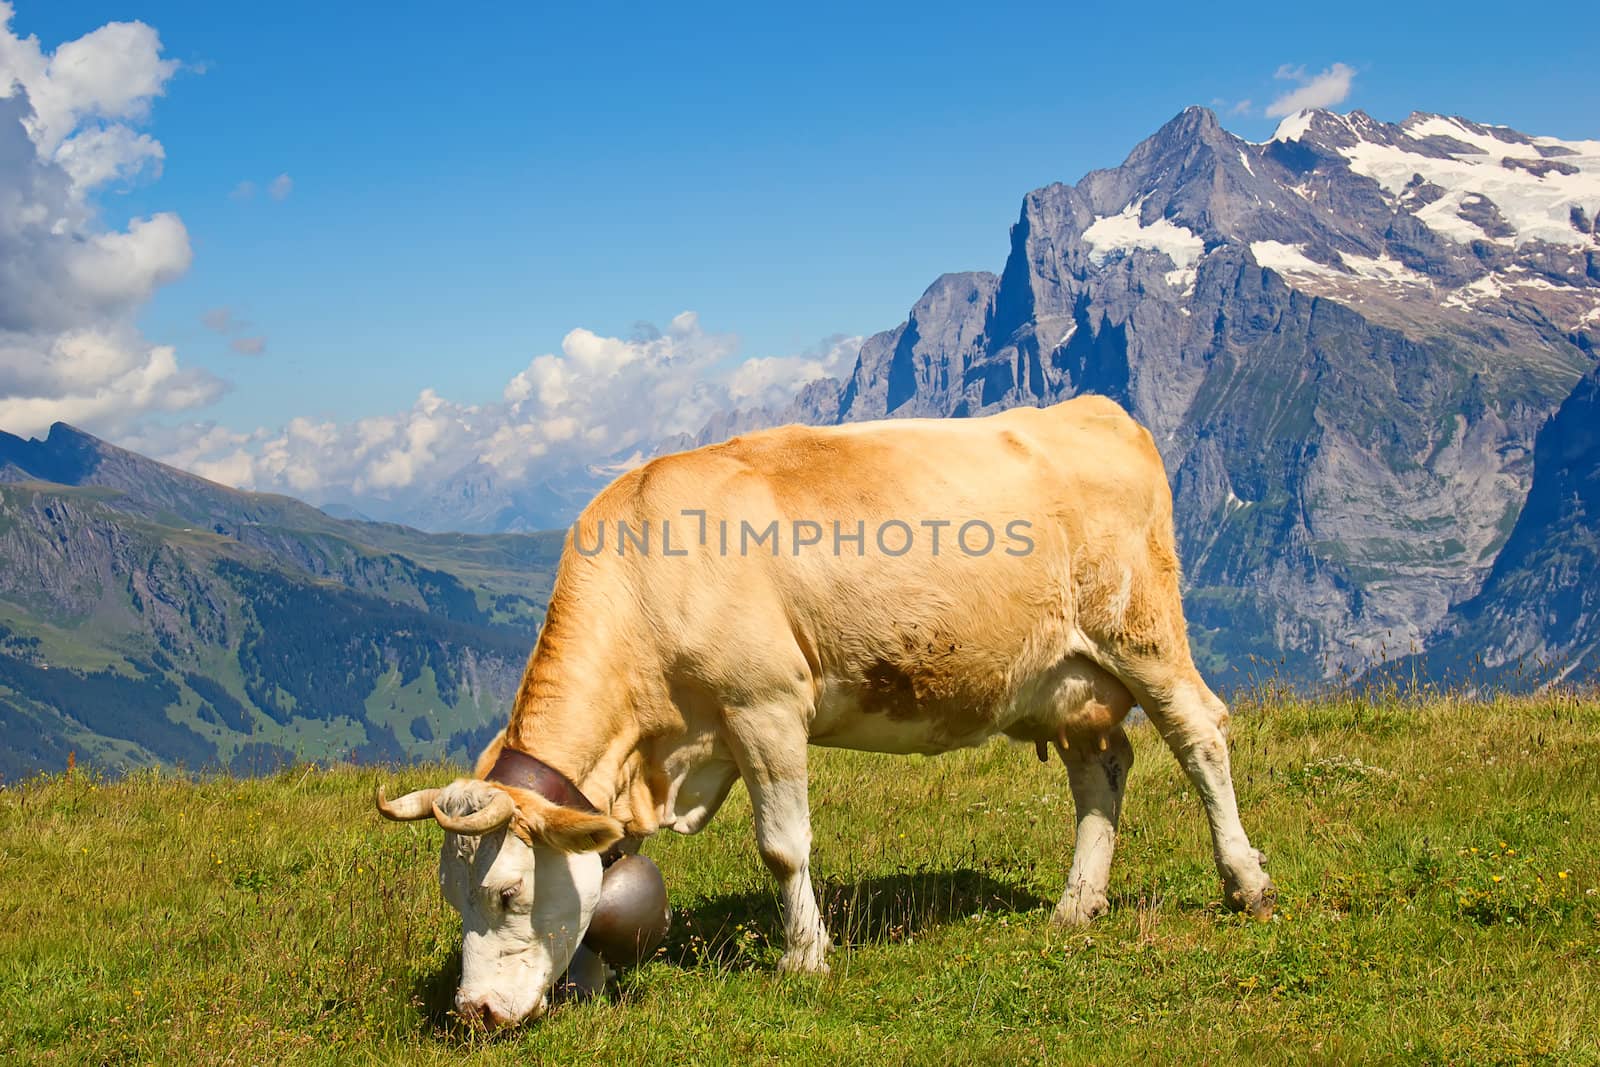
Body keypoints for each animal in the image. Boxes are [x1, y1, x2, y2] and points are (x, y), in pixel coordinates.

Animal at [374, 398, 1273, 1023]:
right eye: (454, 896)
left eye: (508, 894)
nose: (474, 1012)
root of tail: (1095, 408)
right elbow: (606, 863)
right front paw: (591, 979)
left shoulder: (763, 706)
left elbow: (782, 845)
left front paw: (805, 957)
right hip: (1066, 679)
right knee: (1102, 771)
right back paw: (1077, 904)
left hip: (1142, 633)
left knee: (1200, 734)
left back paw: (1246, 882)